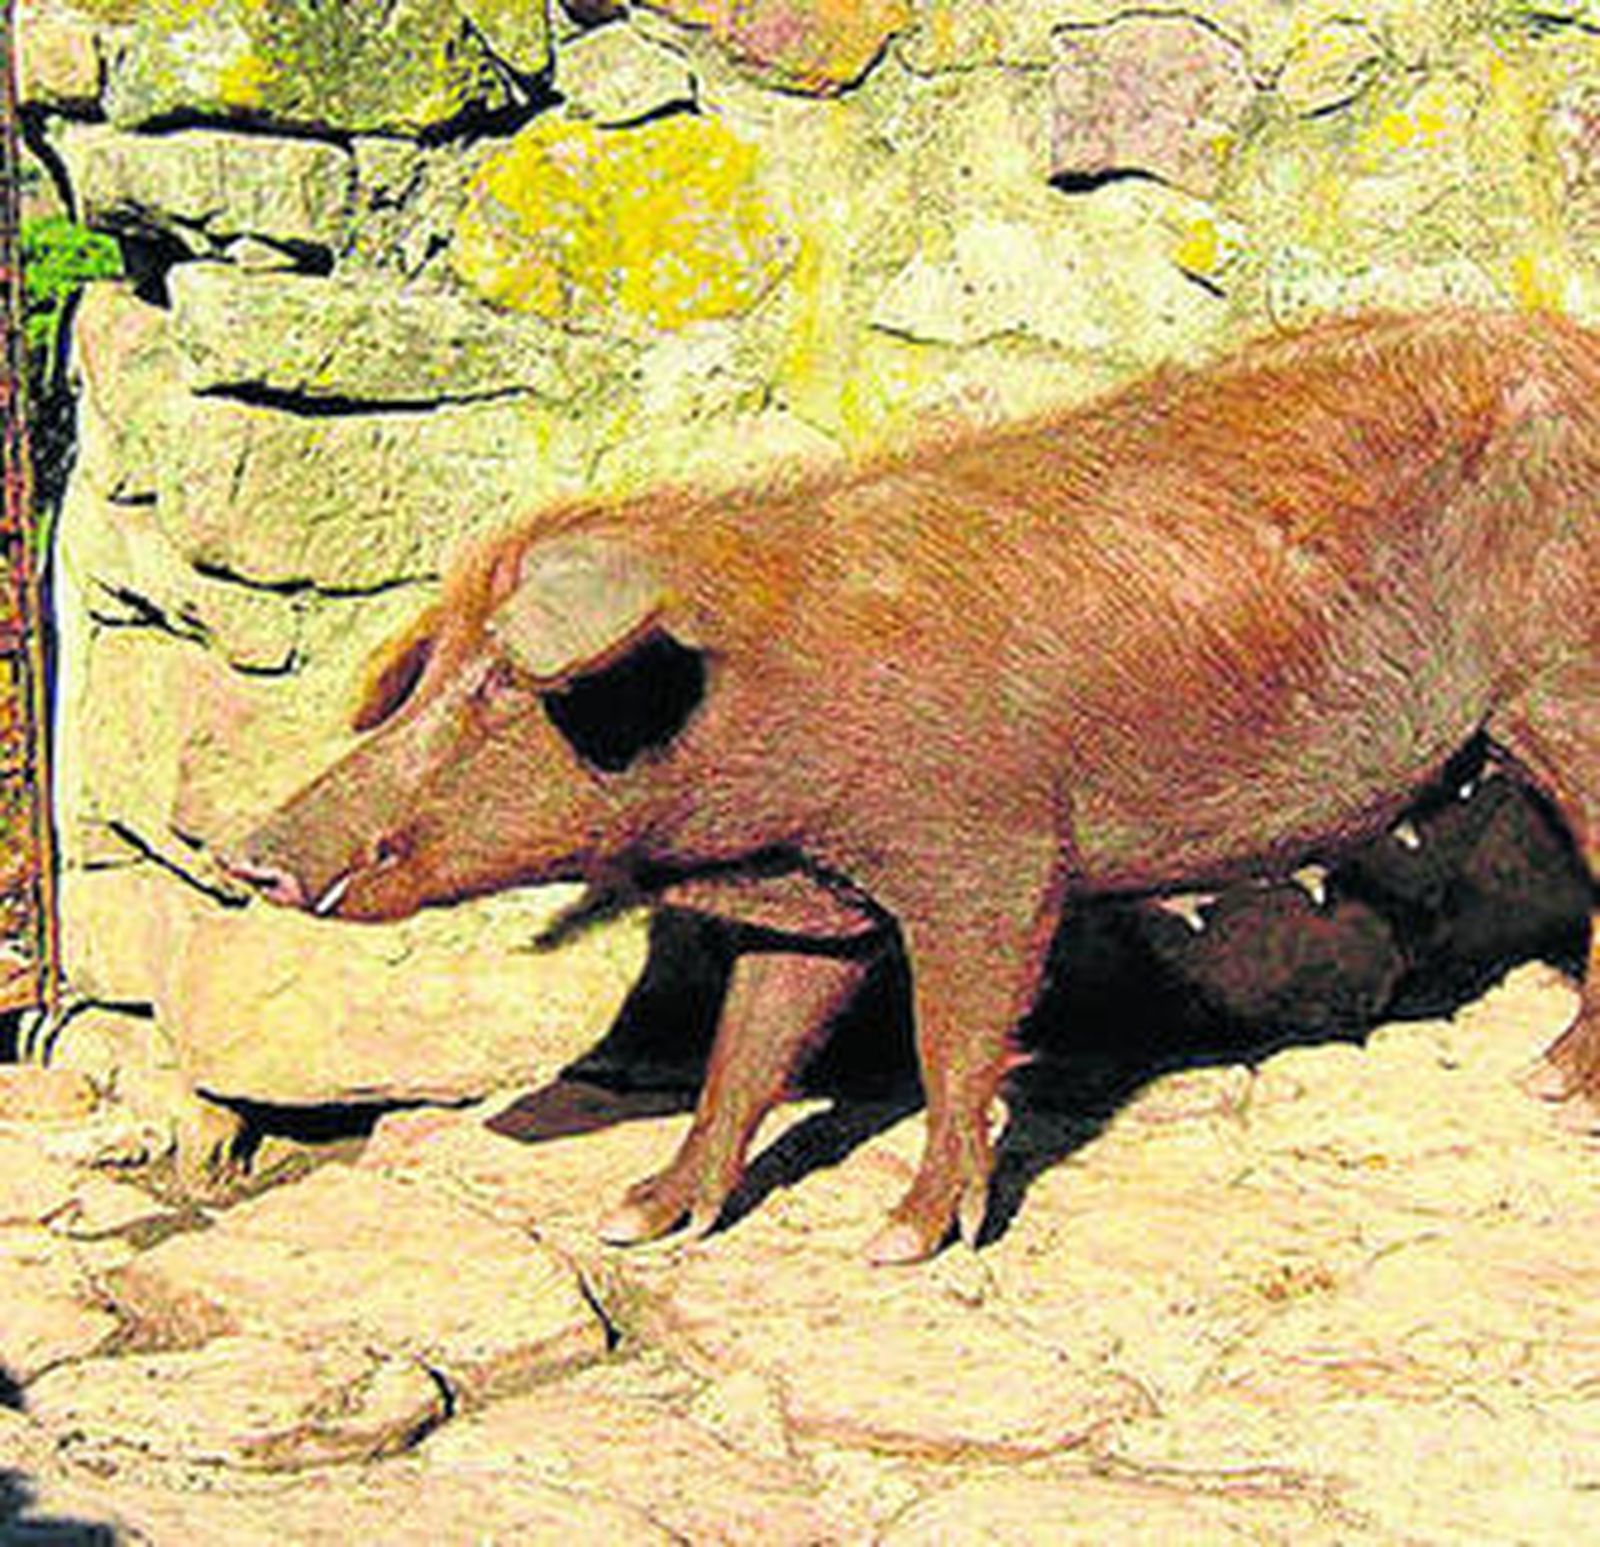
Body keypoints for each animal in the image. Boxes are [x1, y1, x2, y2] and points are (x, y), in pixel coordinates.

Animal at [225, 308, 1600, 1263]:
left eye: (499, 688)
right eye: (425, 679)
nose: (251, 852)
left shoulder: (985, 859)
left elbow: (955, 1043)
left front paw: (897, 1241)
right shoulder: (817, 901)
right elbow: (748, 1046)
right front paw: (639, 1216)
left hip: (1565, 692)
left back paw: (1550, 1088)